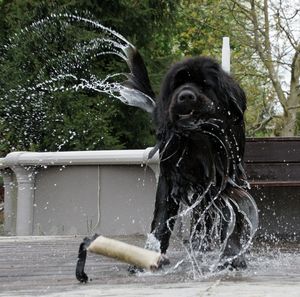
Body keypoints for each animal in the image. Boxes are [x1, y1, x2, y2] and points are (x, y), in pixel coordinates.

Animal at [123, 45, 258, 268]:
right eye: (177, 85)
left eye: (205, 85)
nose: (185, 96)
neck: (198, 141)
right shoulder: (169, 178)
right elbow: (161, 217)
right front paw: (150, 254)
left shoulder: (227, 178)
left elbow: (235, 217)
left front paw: (232, 255)